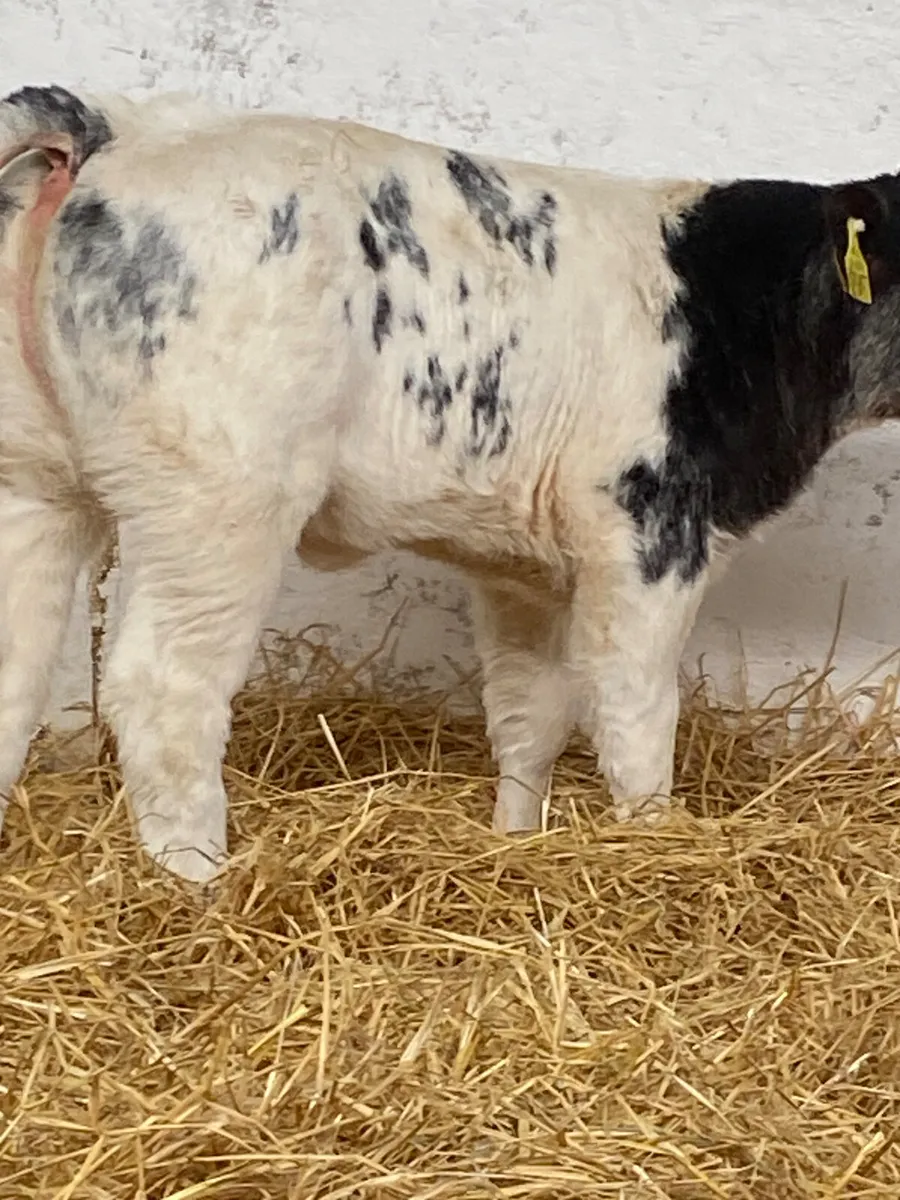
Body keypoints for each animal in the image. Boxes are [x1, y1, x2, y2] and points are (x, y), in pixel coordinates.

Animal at [0, 84, 897, 883]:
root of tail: (115, 126)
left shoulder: (526, 571)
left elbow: (530, 714)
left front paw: (516, 842)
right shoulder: (650, 537)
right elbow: (636, 718)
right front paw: (654, 844)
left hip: (36, 482)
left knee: (17, 669)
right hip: (216, 499)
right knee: (164, 688)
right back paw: (199, 887)